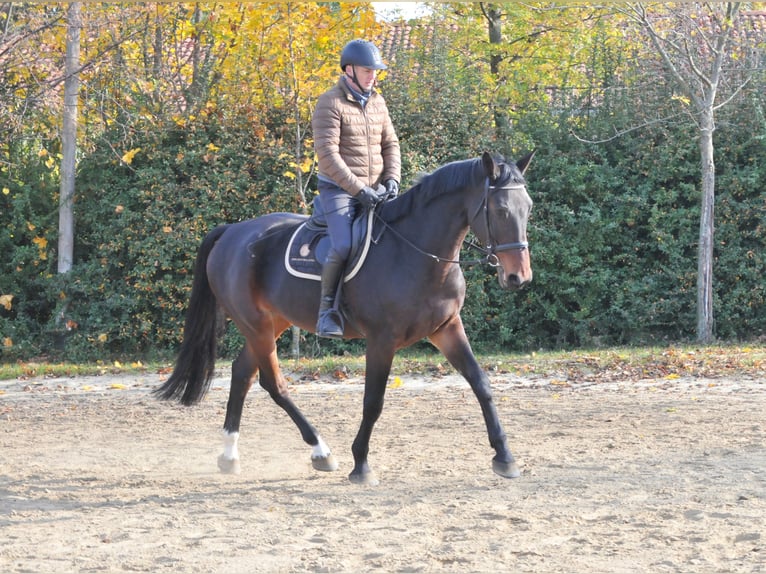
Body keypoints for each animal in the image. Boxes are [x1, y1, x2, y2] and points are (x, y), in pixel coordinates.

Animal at [155, 152, 536, 486]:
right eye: (501, 209)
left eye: (528, 207)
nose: (518, 277)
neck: (418, 254)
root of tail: (233, 231)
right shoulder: (382, 340)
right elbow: (373, 401)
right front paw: (361, 464)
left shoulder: (447, 329)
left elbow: (481, 384)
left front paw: (505, 457)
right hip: (256, 326)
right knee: (273, 384)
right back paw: (320, 451)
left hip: (270, 324)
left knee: (242, 374)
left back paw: (230, 455)